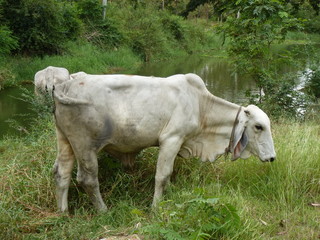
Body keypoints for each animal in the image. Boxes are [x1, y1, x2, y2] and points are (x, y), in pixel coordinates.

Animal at [52, 73, 276, 212]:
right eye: (258, 127)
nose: (272, 157)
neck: (200, 104)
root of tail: (66, 85)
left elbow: (167, 177)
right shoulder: (172, 139)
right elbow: (162, 176)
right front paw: (156, 208)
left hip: (65, 140)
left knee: (61, 174)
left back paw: (63, 211)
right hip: (85, 145)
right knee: (87, 179)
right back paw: (103, 210)